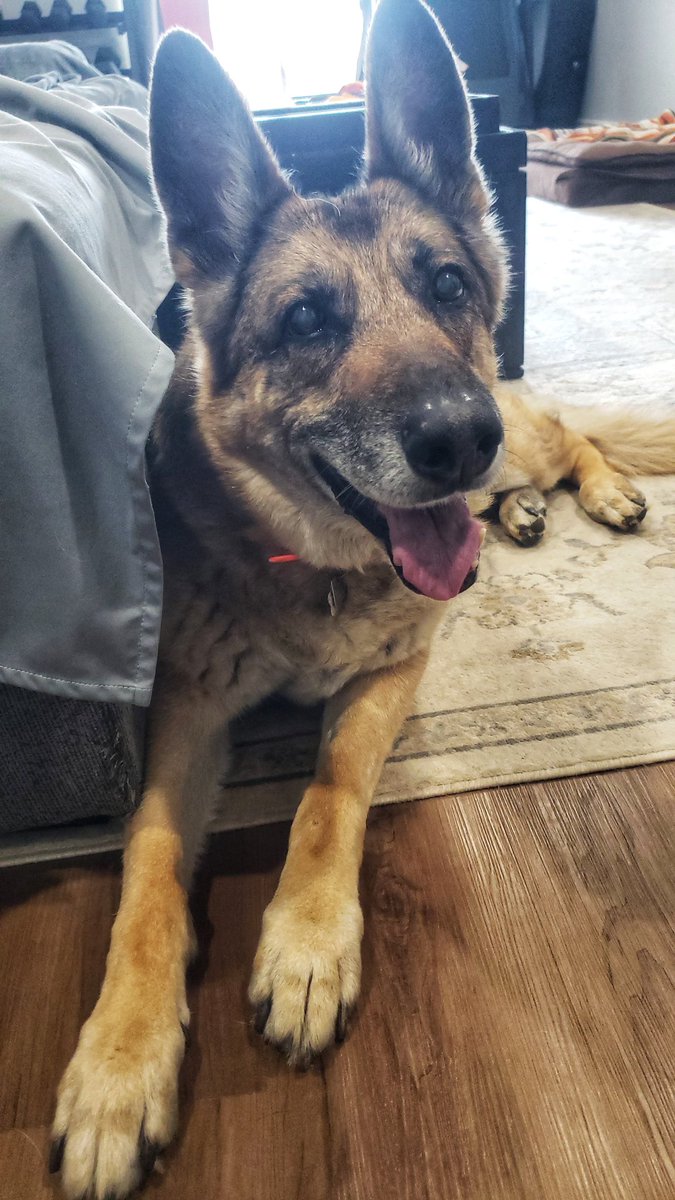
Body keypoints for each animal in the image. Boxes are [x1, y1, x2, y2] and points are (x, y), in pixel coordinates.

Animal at [48, 2, 672, 1200]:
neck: (321, 570)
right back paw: (522, 514)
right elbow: (147, 863)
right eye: (305, 321)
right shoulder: (186, 715)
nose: (455, 439)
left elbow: (329, 788)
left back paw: (598, 493)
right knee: (531, 464)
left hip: (518, 430)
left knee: (571, 434)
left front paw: (303, 944)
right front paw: (118, 1064)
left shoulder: (395, 672)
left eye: (445, 287)